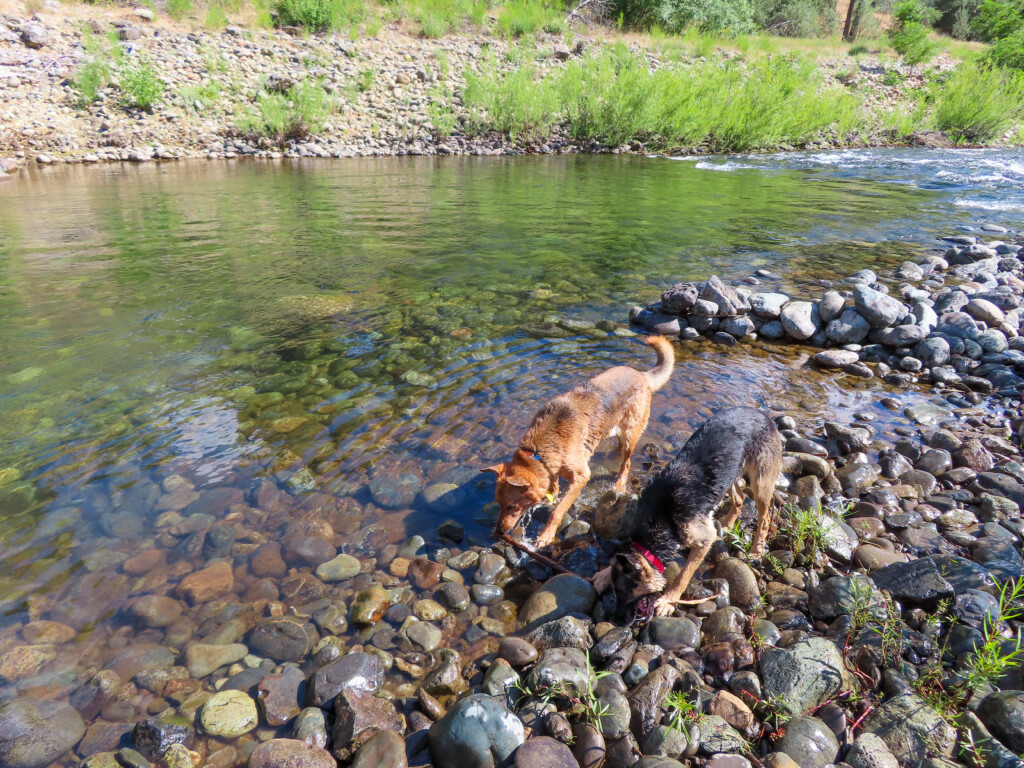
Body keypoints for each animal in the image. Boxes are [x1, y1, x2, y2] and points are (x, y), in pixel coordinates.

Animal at [485, 335, 675, 548]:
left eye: (512, 506)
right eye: (499, 504)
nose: (499, 531)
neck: (538, 451)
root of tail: (641, 375)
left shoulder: (581, 476)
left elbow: (558, 510)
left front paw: (546, 534)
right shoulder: (552, 468)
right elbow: (554, 487)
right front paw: (551, 497)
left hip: (629, 435)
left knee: (626, 463)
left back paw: (619, 485)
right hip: (613, 431)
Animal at [598, 405, 778, 626]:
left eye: (624, 592)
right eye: (616, 592)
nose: (617, 621)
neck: (657, 522)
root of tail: (761, 414)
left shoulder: (703, 540)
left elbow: (683, 575)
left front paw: (669, 599)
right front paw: (603, 573)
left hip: (760, 482)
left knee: (765, 516)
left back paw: (757, 550)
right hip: (729, 475)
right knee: (740, 498)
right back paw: (727, 524)